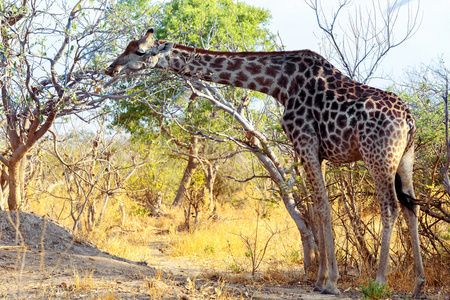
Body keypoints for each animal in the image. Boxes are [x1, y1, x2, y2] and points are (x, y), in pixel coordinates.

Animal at [105, 29, 426, 296]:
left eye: (141, 52)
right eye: (128, 46)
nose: (112, 68)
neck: (279, 83)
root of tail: (409, 120)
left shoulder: (306, 142)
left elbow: (322, 208)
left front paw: (330, 283)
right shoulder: (311, 150)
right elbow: (316, 206)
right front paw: (321, 279)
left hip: (378, 155)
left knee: (390, 207)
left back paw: (379, 283)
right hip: (405, 158)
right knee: (411, 206)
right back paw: (418, 285)